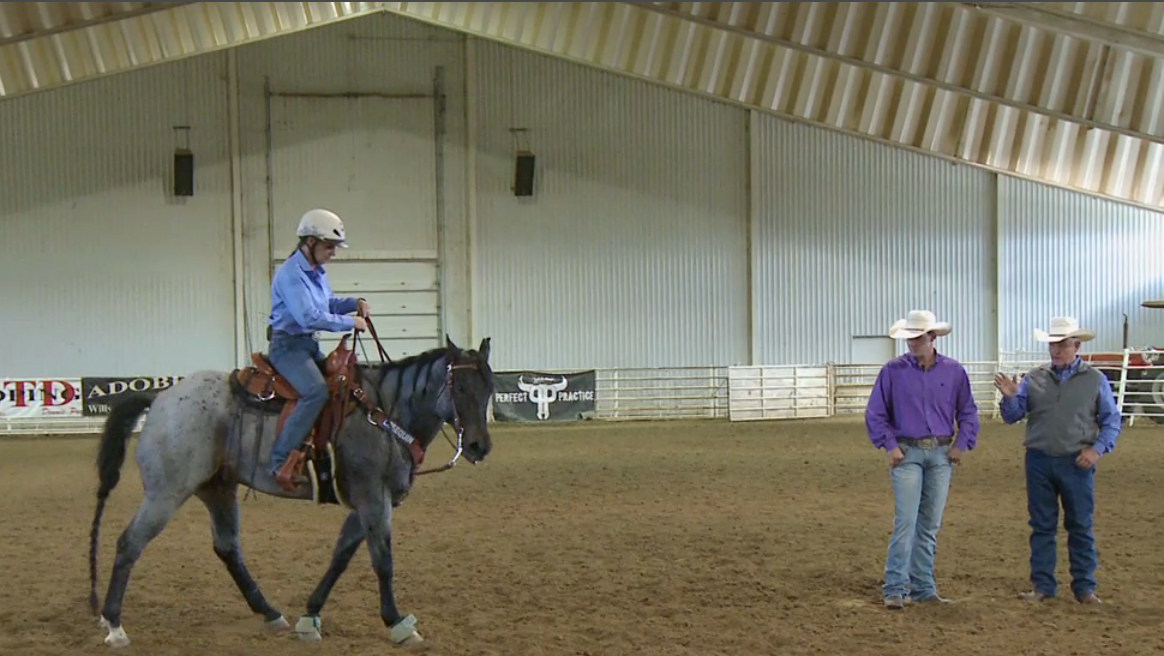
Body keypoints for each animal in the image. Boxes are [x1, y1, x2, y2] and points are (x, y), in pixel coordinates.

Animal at [86, 333, 495, 648]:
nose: (479, 446)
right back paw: (114, 625)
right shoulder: (373, 499)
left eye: (490, 388)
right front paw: (397, 624)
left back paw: (270, 613)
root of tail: (160, 398)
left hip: (217, 489)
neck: (383, 412)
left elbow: (341, 556)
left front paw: (309, 618)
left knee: (227, 548)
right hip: (166, 493)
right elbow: (383, 562)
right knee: (129, 543)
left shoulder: (366, 504)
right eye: (459, 386)